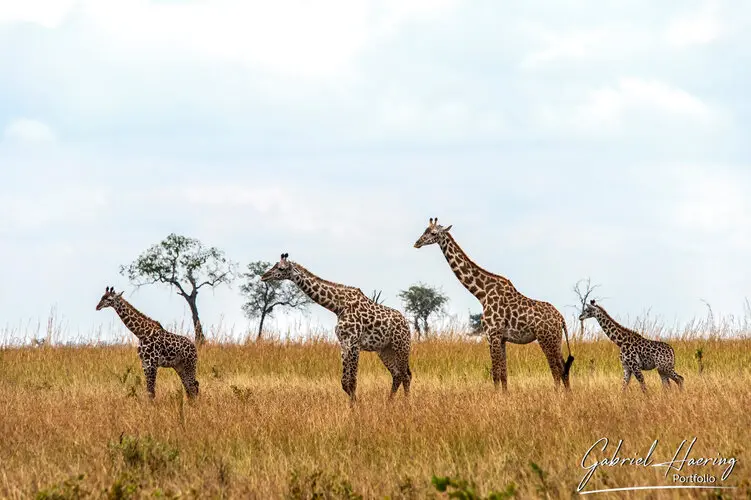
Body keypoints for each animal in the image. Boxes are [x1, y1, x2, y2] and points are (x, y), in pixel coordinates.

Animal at [262, 254, 414, 402]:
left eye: (281, 268)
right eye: (275, 264)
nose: (264, 276)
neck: (338, 306)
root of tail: (406, 324)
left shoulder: (354, 343)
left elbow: (352, 381)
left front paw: (356, 407)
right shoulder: (344, 344)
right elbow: (345, 383)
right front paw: (353, 405)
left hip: (401, 346)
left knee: (406, 375)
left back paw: (406, 404)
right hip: (384, 350)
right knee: (397, 375)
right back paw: (389, 403)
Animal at [414, 218, 572, 390]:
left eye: (433, 233)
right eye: (424, 230)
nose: (417, 243)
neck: (482, 294)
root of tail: (561, 319)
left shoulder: (493, 335)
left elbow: (496, 374)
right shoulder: (500, 338)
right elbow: (503, 374)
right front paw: (504, 395)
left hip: (546, 338)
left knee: (556, 370)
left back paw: (557, 394)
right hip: (556, 339)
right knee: (563, 369)